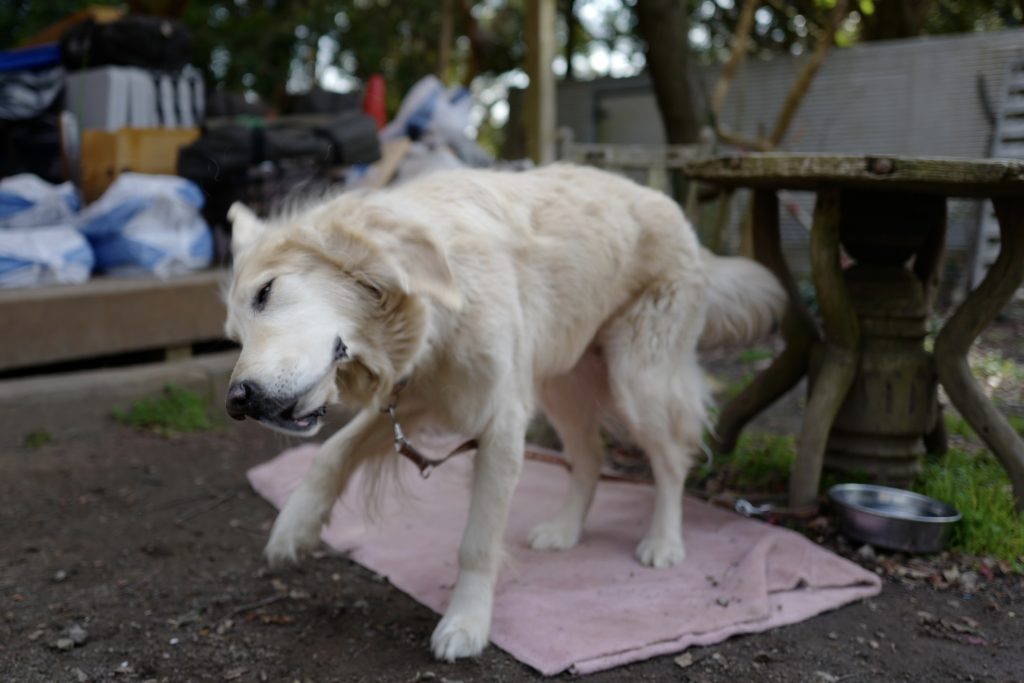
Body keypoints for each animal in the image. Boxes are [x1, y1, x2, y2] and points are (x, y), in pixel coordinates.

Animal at [222, 162, 782, 659]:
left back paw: (664, 540)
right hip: (562, 385)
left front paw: (466, 623)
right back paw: (564, 530)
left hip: (638, 380)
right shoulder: (417, 400)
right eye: (234, 336)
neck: (437, 298)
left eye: (267, 291)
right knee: (592, 457)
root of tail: (677, 214)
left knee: (671, 460)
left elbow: (476, 543)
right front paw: (293, 529)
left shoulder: (499, 423)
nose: (236, 402)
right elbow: (332, 452)